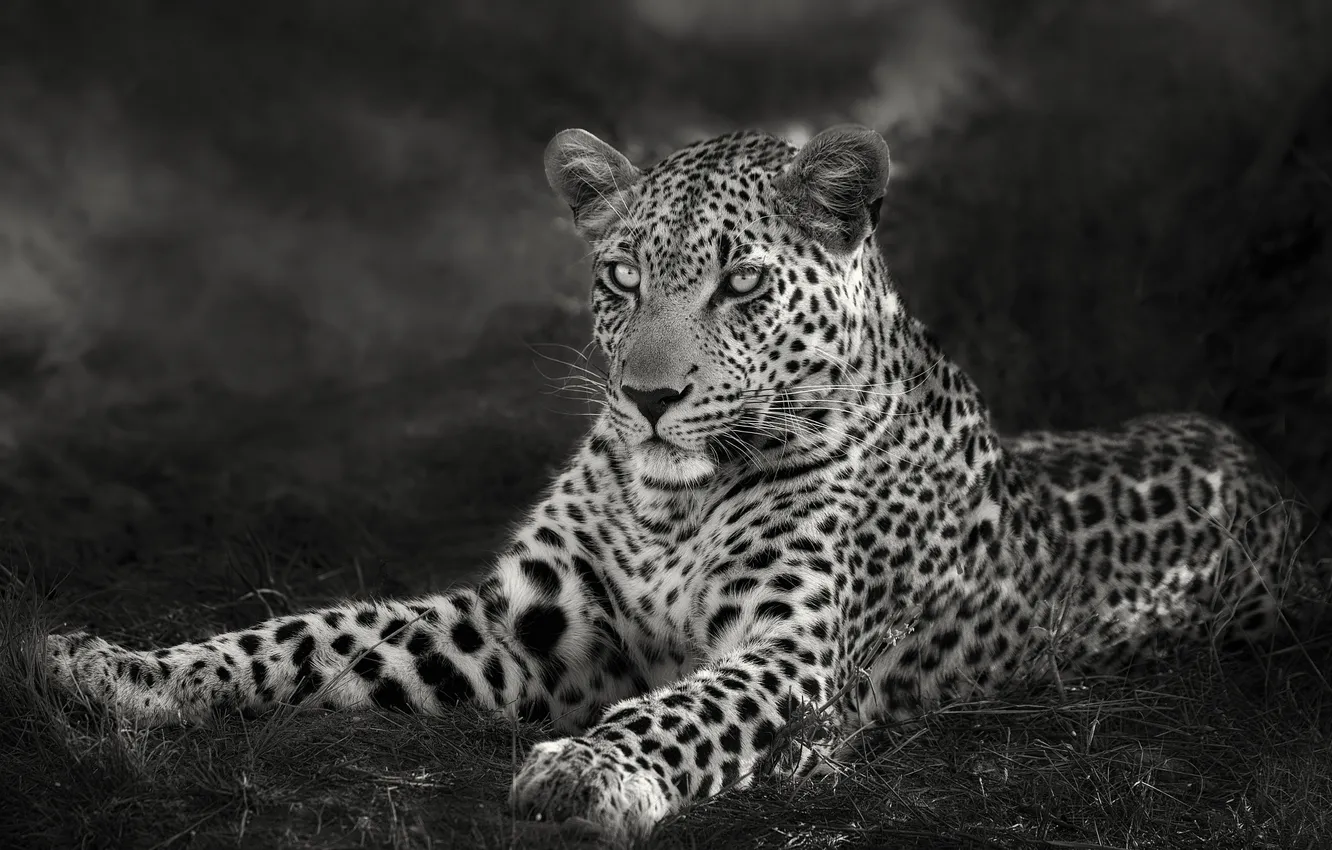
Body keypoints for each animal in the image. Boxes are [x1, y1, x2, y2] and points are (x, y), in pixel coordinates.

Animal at [42, 125, 1316, 844]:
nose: (649, 397)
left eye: (740, 284)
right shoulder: (524, 626)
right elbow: (315, 634)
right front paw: (127, 669)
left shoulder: (792, 658)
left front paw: (586, 771)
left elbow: (685, 708)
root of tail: (1251, 458)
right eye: (619, 277)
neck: (673, 501)